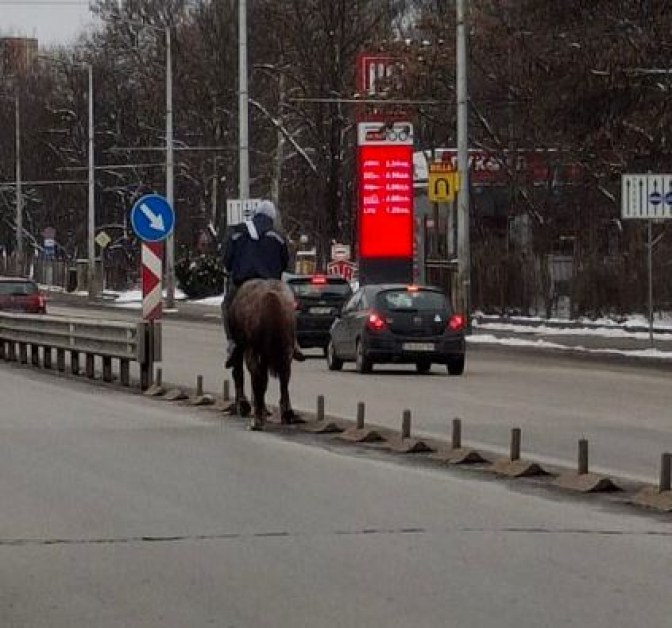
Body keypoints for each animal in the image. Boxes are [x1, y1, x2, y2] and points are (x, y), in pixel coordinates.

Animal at [227, 280, 298, 432]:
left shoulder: (244, 350)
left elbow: (240, 374)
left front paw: (244, 406)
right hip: (285, 351)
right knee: (284, 379)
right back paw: (287, 414)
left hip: (253, 350)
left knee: (257, 379)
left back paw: (257, 421)